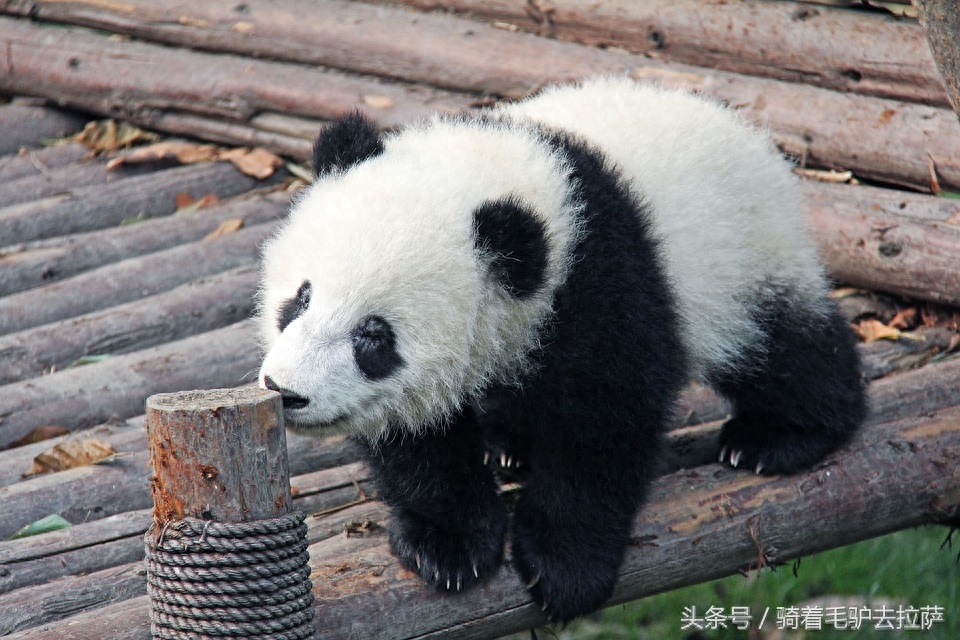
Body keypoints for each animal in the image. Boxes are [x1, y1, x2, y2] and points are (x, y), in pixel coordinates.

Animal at [258, 77, 868, 624]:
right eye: (301, 298)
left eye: (373, 337)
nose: (286, 391)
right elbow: (419, 437)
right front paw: (449, 543)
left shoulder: (602, 280)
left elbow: (603, 423)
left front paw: (564, 567)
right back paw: (510, 444)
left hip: (743, 255)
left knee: (780, 346)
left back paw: (778, 437)